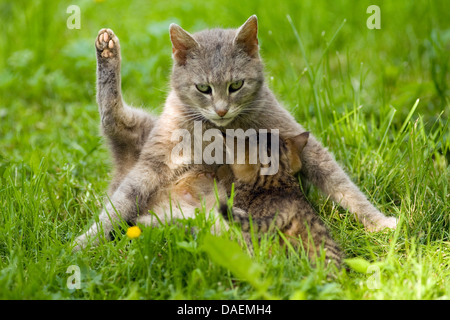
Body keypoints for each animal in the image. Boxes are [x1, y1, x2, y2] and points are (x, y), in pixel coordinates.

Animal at [74, 15, 398, 250]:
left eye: (236, 85)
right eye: (203, 88)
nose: (221, 110)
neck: (221, 131)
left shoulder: (294, 139)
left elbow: (341, 183)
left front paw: (378, 222)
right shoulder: (155, 161)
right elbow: (120, 205)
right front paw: (83, 243)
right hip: (143, 134)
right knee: (112, 121)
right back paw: (107, 50)